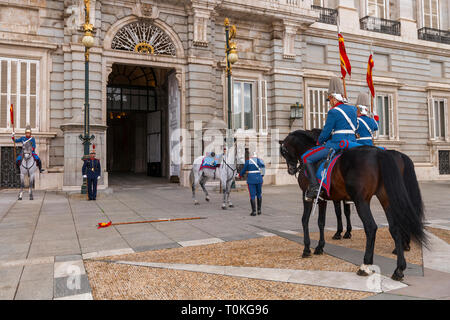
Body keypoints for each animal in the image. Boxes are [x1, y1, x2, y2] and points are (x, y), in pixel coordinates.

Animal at [282, 129, 426, 280]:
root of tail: (379, 153)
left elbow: (306, 220)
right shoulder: (322, 199)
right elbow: (321, 222)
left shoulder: (308, 196)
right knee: (395, 227)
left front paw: (307, 248)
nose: (291, 170)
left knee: (371, 227)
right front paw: (320, 247)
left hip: (361, 201)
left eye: (284, 151)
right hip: (386, 199)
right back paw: (399, 267)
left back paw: (366, 265)